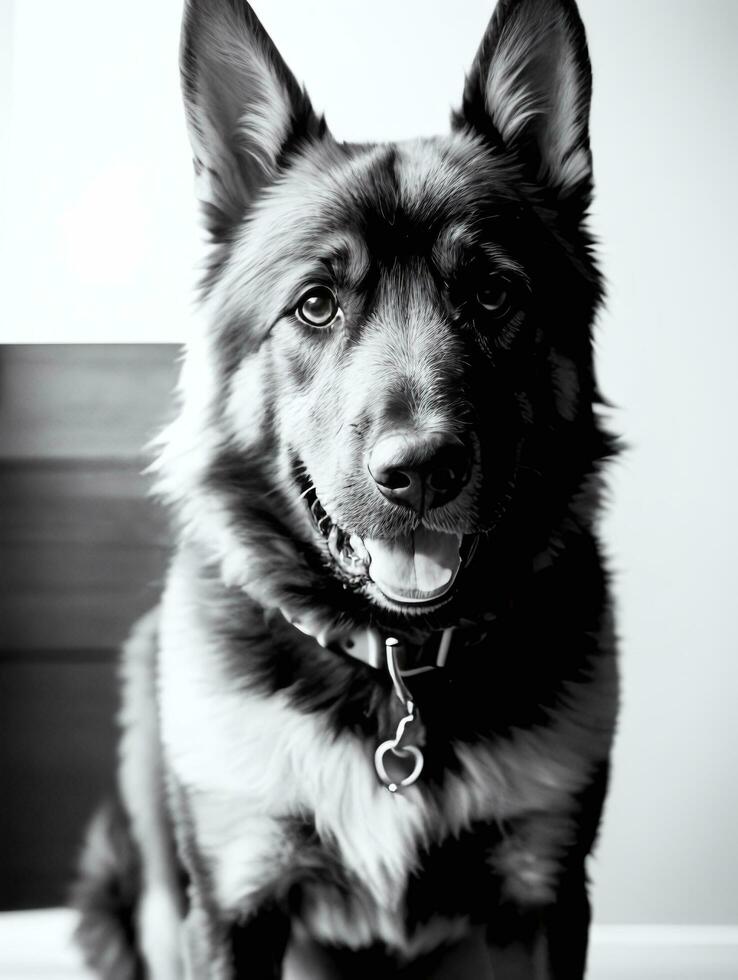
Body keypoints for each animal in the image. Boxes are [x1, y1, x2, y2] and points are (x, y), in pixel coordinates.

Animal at [73, 0, 616, 976]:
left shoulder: (547, 899)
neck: (396, 664)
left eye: (492, 294)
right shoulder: (233, 903)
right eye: (316, 304)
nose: (422, 470)